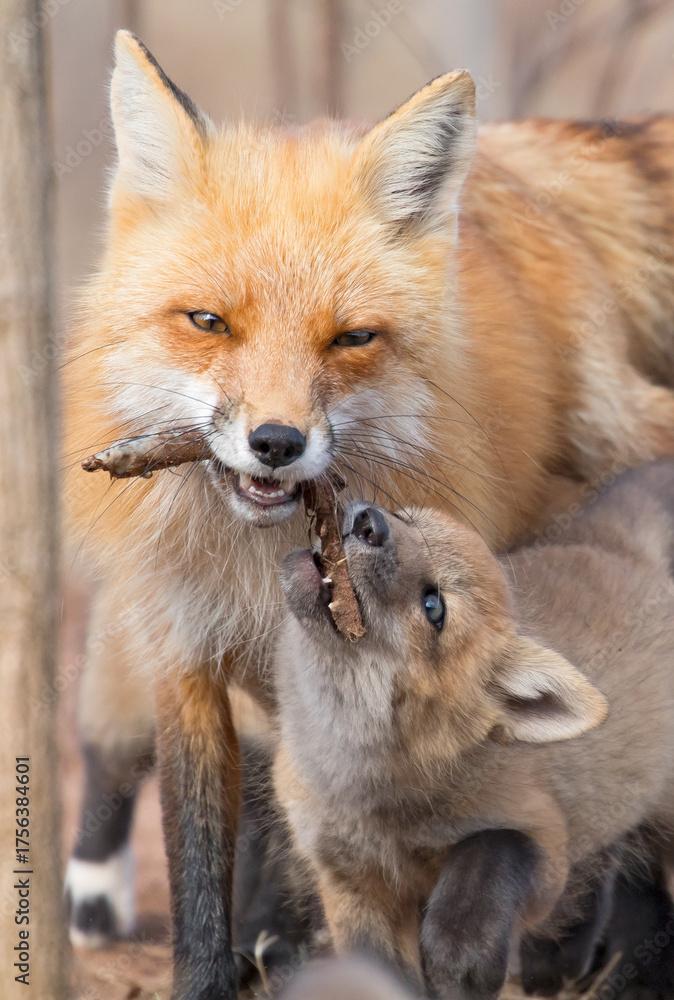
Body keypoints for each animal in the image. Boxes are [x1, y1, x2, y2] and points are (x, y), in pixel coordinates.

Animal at [273, 460, 674, 1000]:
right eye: (405, 518)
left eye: (435, 607)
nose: (369, 521)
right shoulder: (351, 884)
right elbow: (375, 972)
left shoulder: (546, 846)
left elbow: (495, 849)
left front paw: (460, 949)